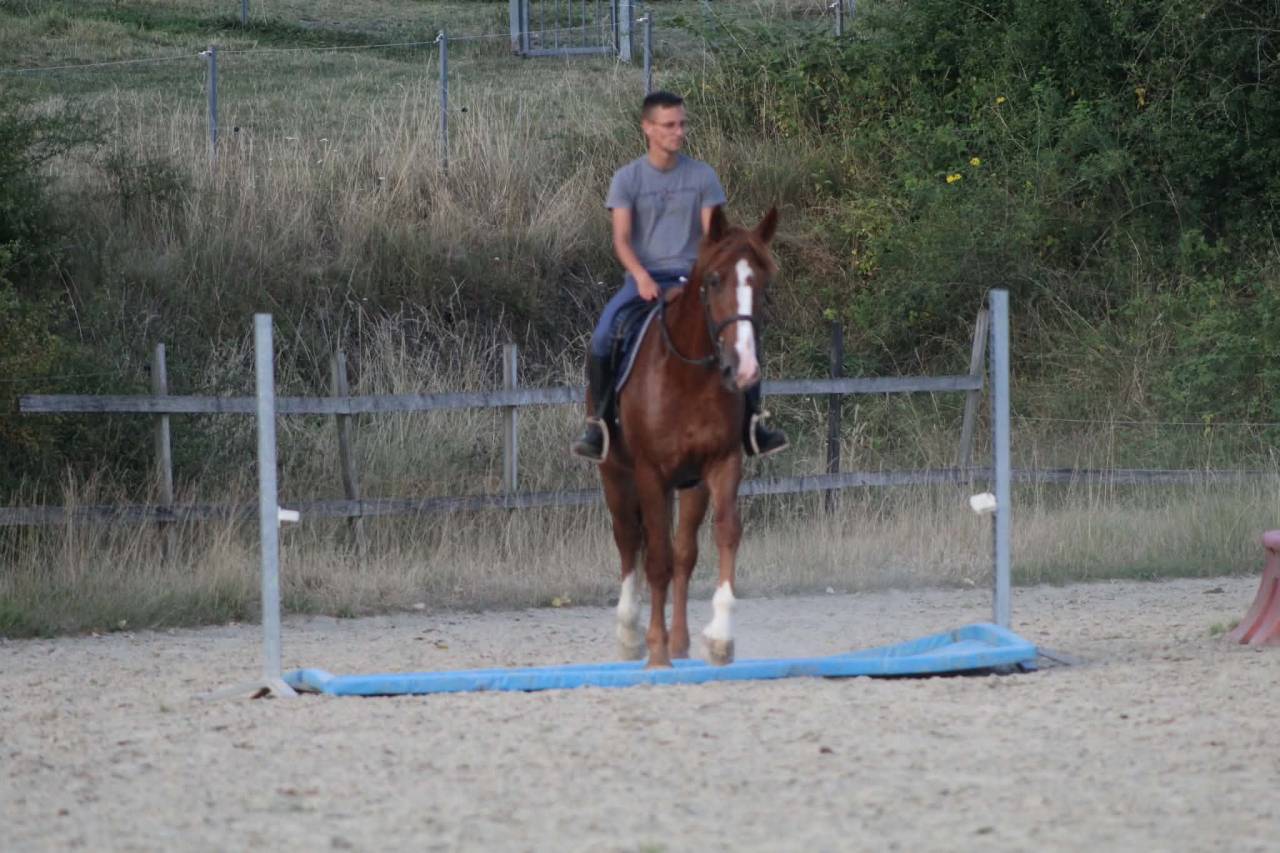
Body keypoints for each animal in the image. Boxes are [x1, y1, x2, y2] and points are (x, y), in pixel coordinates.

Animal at [595, 205, 779, 668]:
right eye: (713, 280)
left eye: (762, 283)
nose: (744, 368)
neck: (688, 376)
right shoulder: (649, 472)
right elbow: (654, 557)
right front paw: (656, 652)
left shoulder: (723, 462)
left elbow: (723, 534)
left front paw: (719, 638)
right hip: (616, 474)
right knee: (629, 540)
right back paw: (631, 634)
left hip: (690, 484)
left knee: (683, 553)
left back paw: (678, 640)